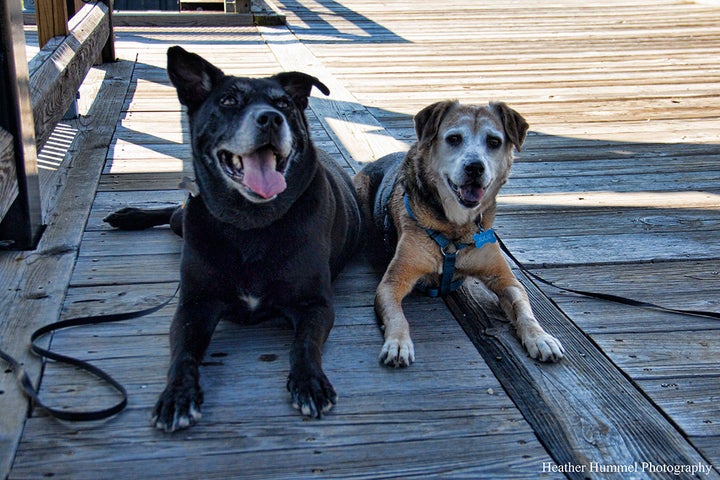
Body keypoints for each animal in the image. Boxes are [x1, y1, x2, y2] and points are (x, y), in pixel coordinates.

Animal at [104, 47, 362, 432]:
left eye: (285, 103)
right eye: (227, 100)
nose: (271, 119)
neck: (250, 223)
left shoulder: (313, 304)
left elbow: (303, 345)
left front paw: (309, 382)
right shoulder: (195, 306)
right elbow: (183, 354)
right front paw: (177, 395)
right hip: (184, 221)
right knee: (173, 212)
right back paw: (129, 216)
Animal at [352, 99, 564, 366]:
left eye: (494, 141)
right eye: (453, 138)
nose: (475, 167)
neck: (454, 228)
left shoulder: (506, 280)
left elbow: (523, 308)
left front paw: (540, 337)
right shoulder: (391, 284)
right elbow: (397, 316)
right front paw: (398, 343)